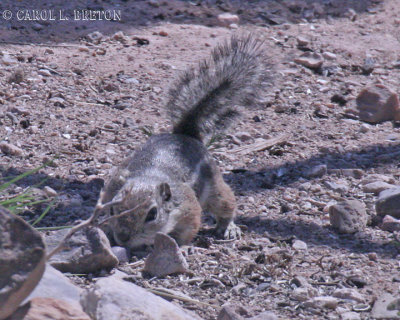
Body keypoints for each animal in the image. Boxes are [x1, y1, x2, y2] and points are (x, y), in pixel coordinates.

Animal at [98, 34, 270, 250]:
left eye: (152, 214)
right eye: (112, 209)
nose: (122, 238)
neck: (148, 177)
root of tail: (185, 133)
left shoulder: (189, 208)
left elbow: (188, 230)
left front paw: (180, 247)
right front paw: (105, 230)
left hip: (216, 188)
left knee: (226, 205)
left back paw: (229, 227)